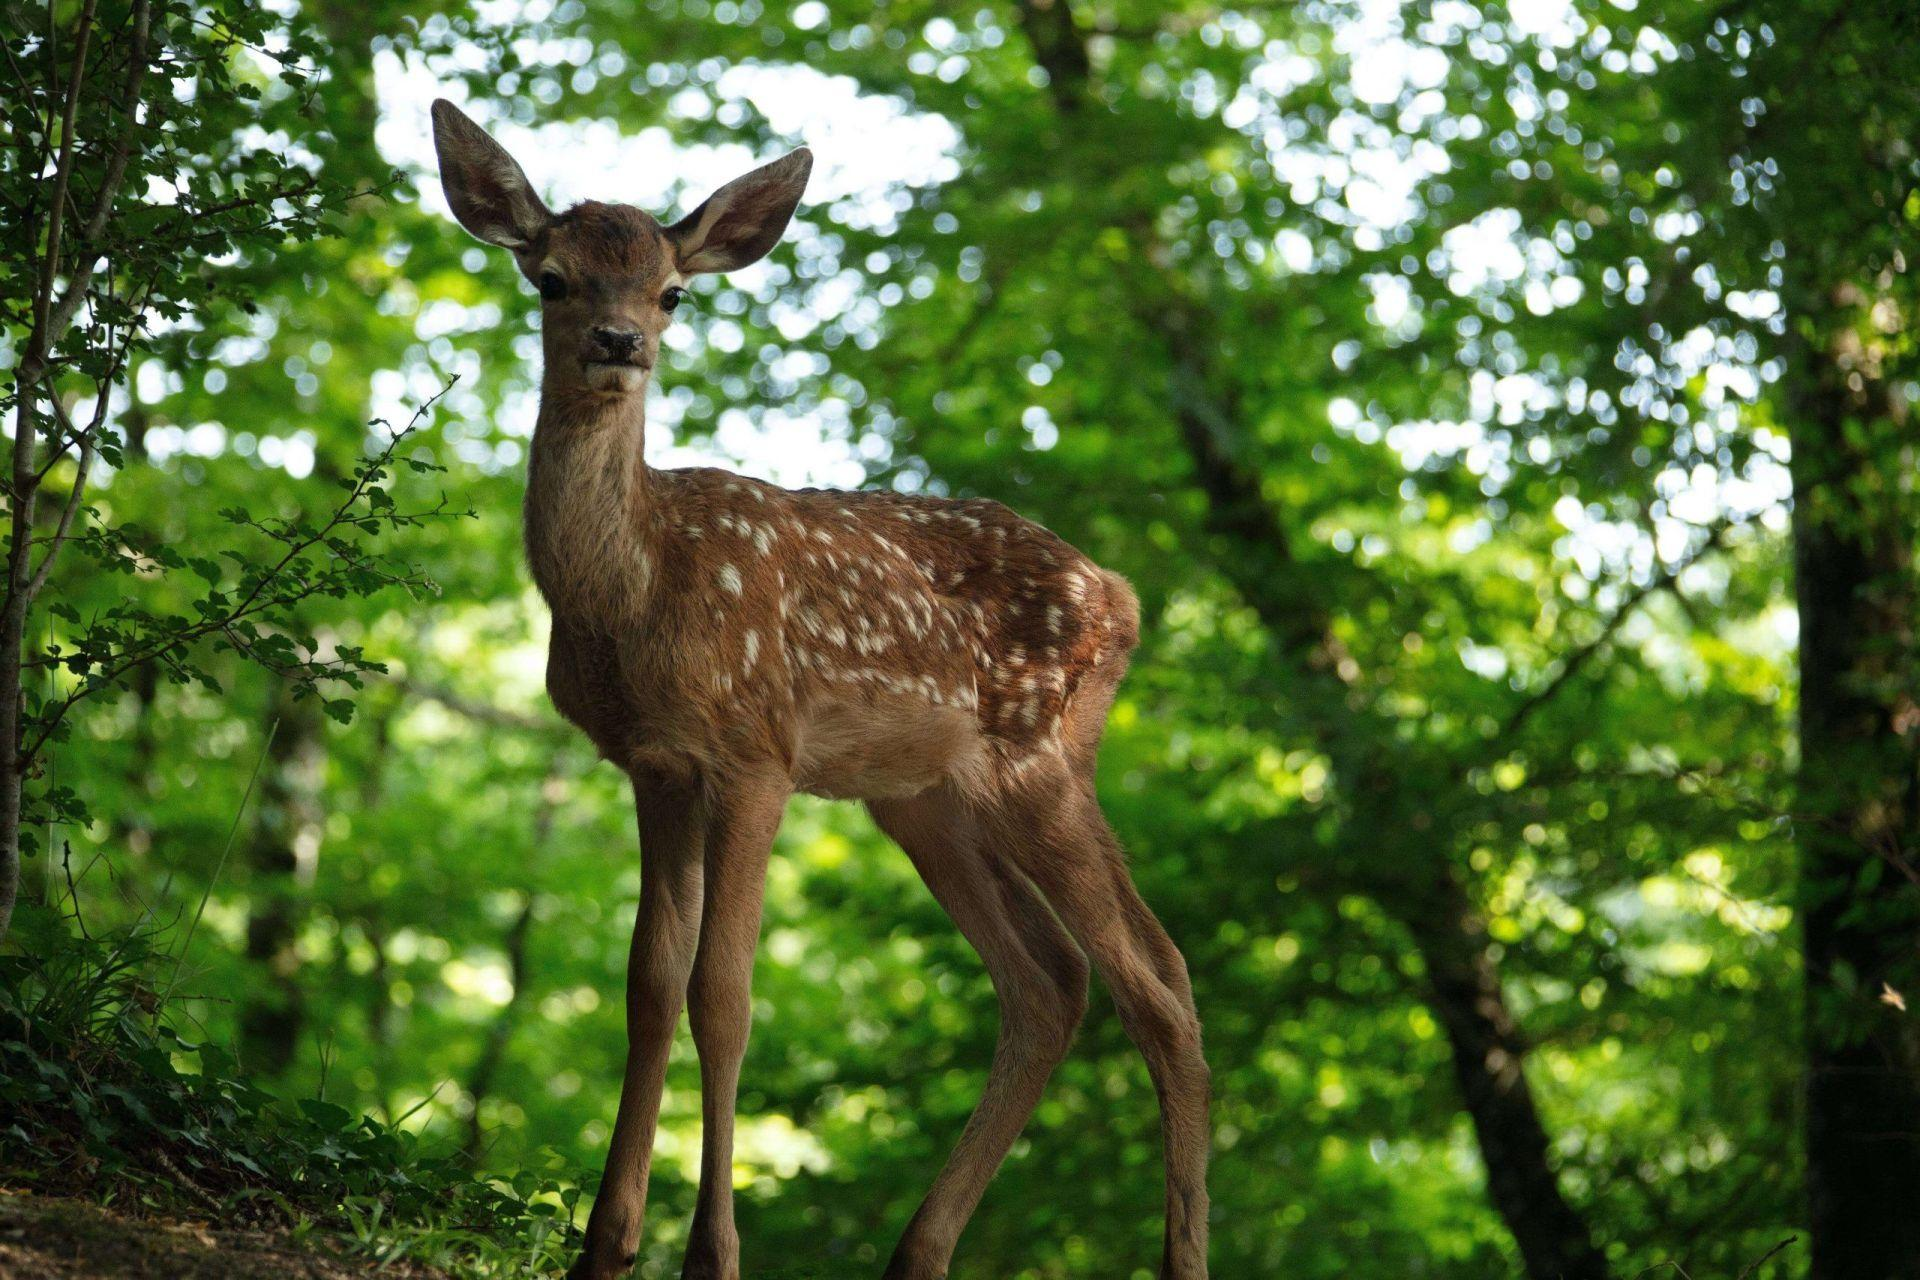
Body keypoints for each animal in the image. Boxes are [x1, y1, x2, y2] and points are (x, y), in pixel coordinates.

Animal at [429, 99, 1210, 1280]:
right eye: (552, 277)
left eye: (673, 290)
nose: (620, 343)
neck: (635, 588)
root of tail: (1120, 596)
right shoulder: (657, 764)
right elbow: (650, 982)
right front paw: (605, 1245)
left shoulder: (759, 751)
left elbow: (725, 992)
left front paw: (711, 1255)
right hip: (922, 798)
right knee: (1049, 980)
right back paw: (917, 1252)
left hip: (1038, 759)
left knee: (1157, 980)